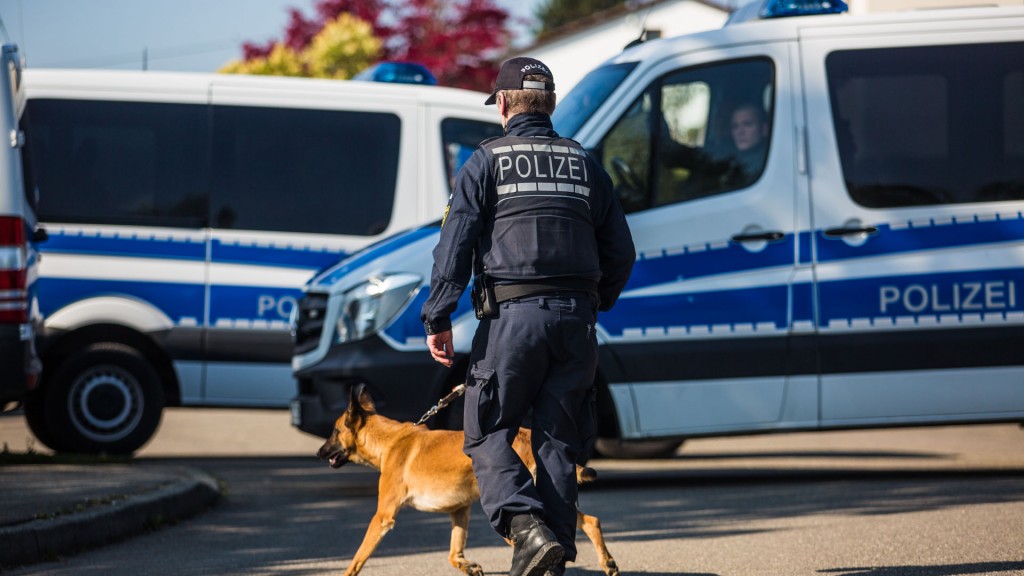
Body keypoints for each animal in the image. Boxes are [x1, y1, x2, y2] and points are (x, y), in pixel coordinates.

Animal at [313, 381, 614, 573]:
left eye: (335, 431)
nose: (318, 452)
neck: (389, 441)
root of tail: (528, 437)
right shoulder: (459, 511)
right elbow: (452, 553)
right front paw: (468, 567)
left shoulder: (382, 516)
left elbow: (358, 557)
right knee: (589, 521)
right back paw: (607, 562)